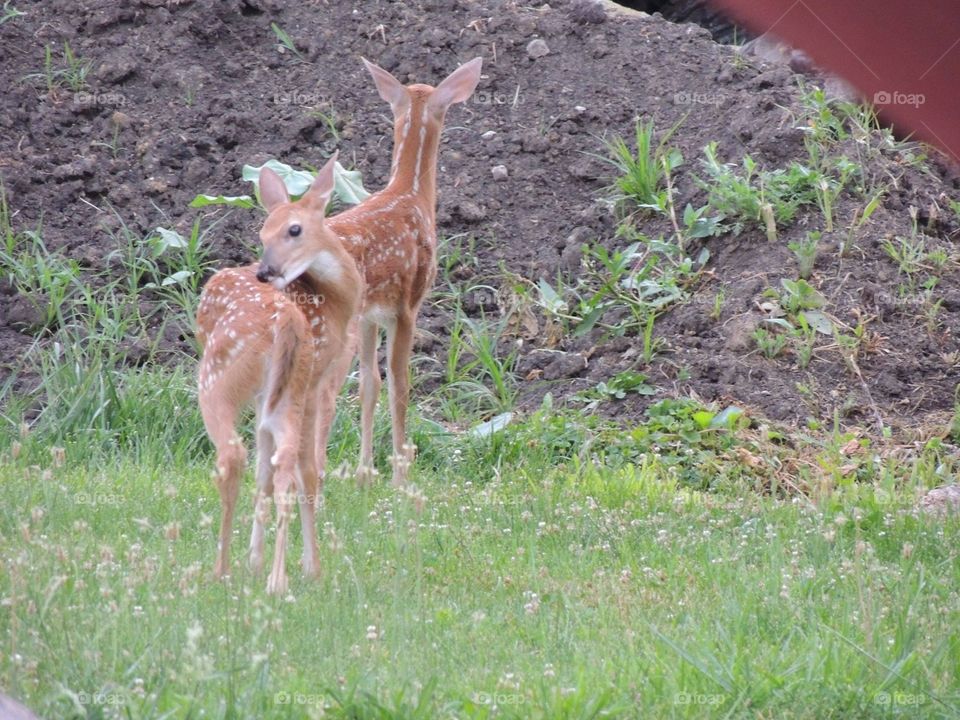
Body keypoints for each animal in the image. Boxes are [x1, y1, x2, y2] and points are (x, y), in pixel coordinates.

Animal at [196, 152, 362, 595]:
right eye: (262, 232)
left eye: (294, 229)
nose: (265, 271)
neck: (336, 303)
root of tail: (285, 320)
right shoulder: (292, 389)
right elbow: (276, 472)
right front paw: (271, 564)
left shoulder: (310, 385)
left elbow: (281, 469)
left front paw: (261, 562)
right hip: (284, 389)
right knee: (283, 461)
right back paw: (276, 578)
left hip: (217, 376)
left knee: (235, 455)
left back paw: (223, 570)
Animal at [320, 56, 483, 487]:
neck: (409, 192)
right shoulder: (408, 304)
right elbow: (399, 385)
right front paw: (399, 478)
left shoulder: (370, 315)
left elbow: (369, 385)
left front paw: (365, 474)